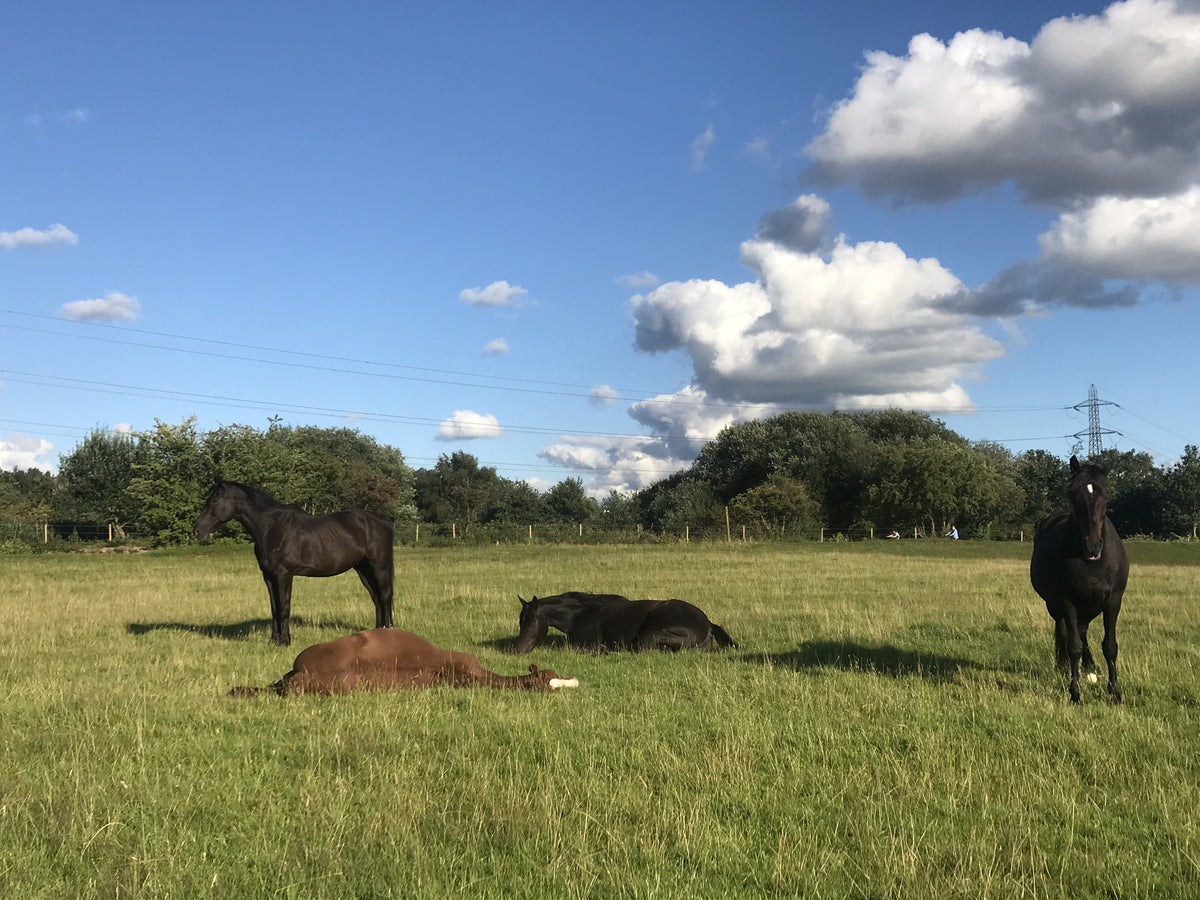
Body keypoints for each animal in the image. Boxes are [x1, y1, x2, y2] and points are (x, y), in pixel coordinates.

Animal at [193, 479, 395, 646]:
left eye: (214, 500)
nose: (197, 530)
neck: (271, 527)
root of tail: (385, 520)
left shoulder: (284, 573)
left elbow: (284, 607)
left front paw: (284, 641)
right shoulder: (268, 576)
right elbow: (274, 608)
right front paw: (273, 640)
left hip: (380, 566)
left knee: (385, 597)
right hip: (363, 569)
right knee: (376, 598)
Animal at [1030, 455, 1129, 704]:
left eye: (1106, 496)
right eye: (1073, 494)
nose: (1092, 546)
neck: (1092, 563)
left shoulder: (1113, 600)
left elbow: (1110, 646)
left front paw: (1115, 693)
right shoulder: (1068, 601)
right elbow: (1073, 645)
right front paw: (1075, 693)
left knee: (1082, 632)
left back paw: (1090, 669)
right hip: (1056, 605)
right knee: (1066, 633)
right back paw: (1067, 667)